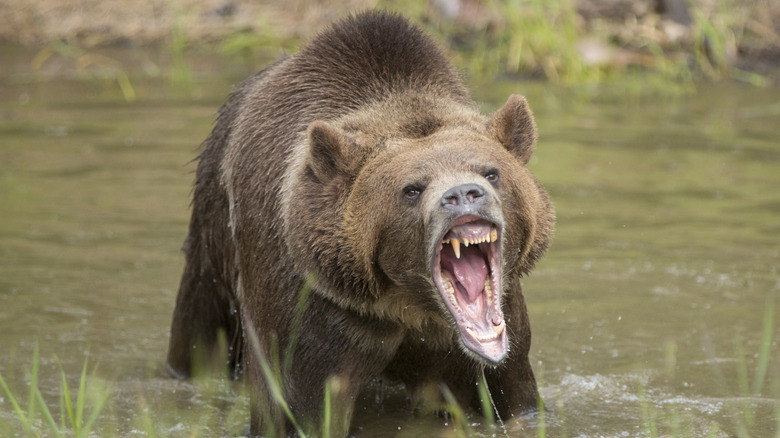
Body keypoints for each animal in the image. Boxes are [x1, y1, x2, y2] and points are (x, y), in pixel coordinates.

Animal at [165, 8, 556, 436]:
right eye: (412, 189)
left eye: (490, 172)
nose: (463, 194)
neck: (408, 302)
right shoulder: (316, 310)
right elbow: (300, 405)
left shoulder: (495, 331)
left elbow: (512, 394)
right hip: (214, 237)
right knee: (201, 329)